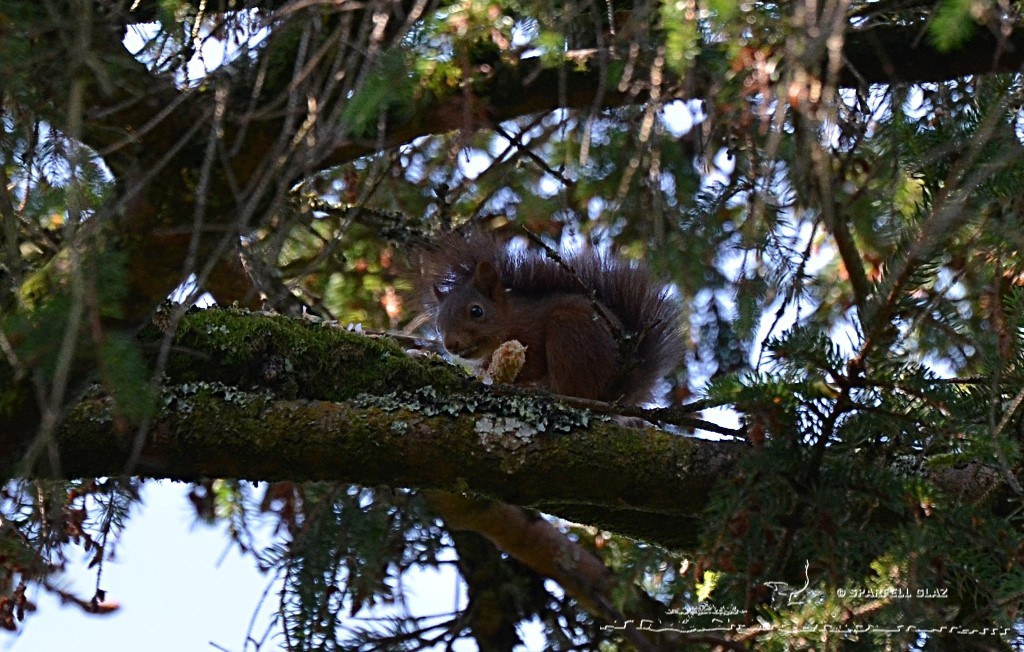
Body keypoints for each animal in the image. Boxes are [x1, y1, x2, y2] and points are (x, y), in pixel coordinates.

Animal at [416, 230, 684, 405]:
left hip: (569, 336)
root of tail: (618, 388)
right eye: (438, 325)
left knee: (574, 390)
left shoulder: (531, 334)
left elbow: (533, 364)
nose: (450, 344)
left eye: (476, 311)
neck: (509, 319)